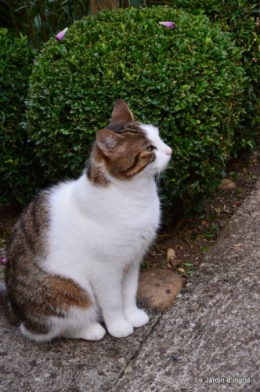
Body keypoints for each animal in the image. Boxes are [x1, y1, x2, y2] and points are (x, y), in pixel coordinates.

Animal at [5, 99, 172, 342]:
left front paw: (132, 315)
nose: (170, 150)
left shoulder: (132, 259)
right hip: (69, 292)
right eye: (150, 149)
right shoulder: (104, 270)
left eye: (159, 136)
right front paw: (119, 325)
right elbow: (113, 302)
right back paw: (91, 329)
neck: (133, 194)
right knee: (50, 329)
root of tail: (17, 312)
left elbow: (129, 292)